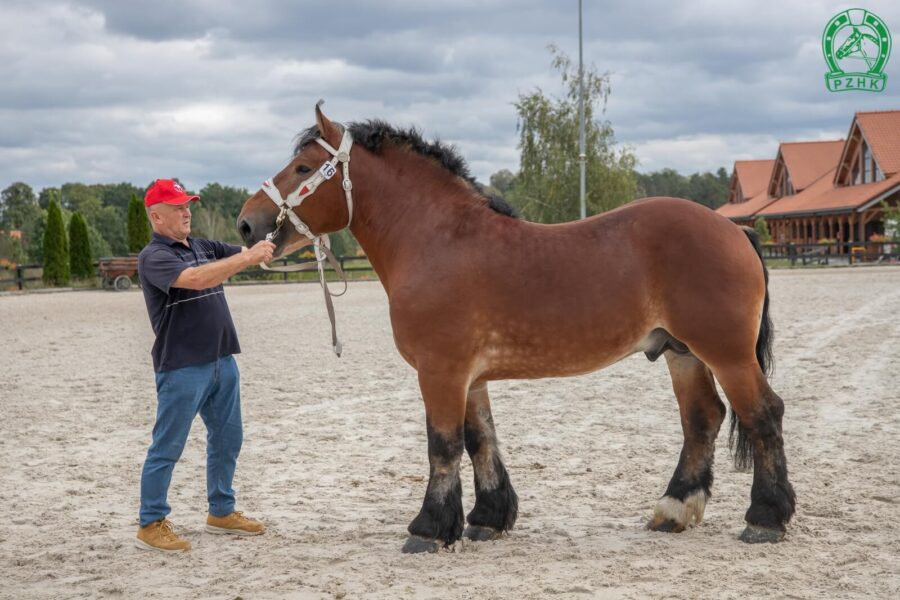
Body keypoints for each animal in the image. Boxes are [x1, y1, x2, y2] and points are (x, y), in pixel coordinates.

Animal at [237, 104, 796, 552]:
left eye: (303, 167)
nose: (246, 223)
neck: (438, 241)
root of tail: (734, 230)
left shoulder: (440, 372)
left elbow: (443, 445)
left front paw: (428, 529)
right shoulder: (469, 377)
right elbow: (480, 439)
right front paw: (486, 519)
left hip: (726, 353)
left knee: (762, 414)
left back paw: (765, 519)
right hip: (683, 352)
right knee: (703, 418)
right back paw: (674, 509)